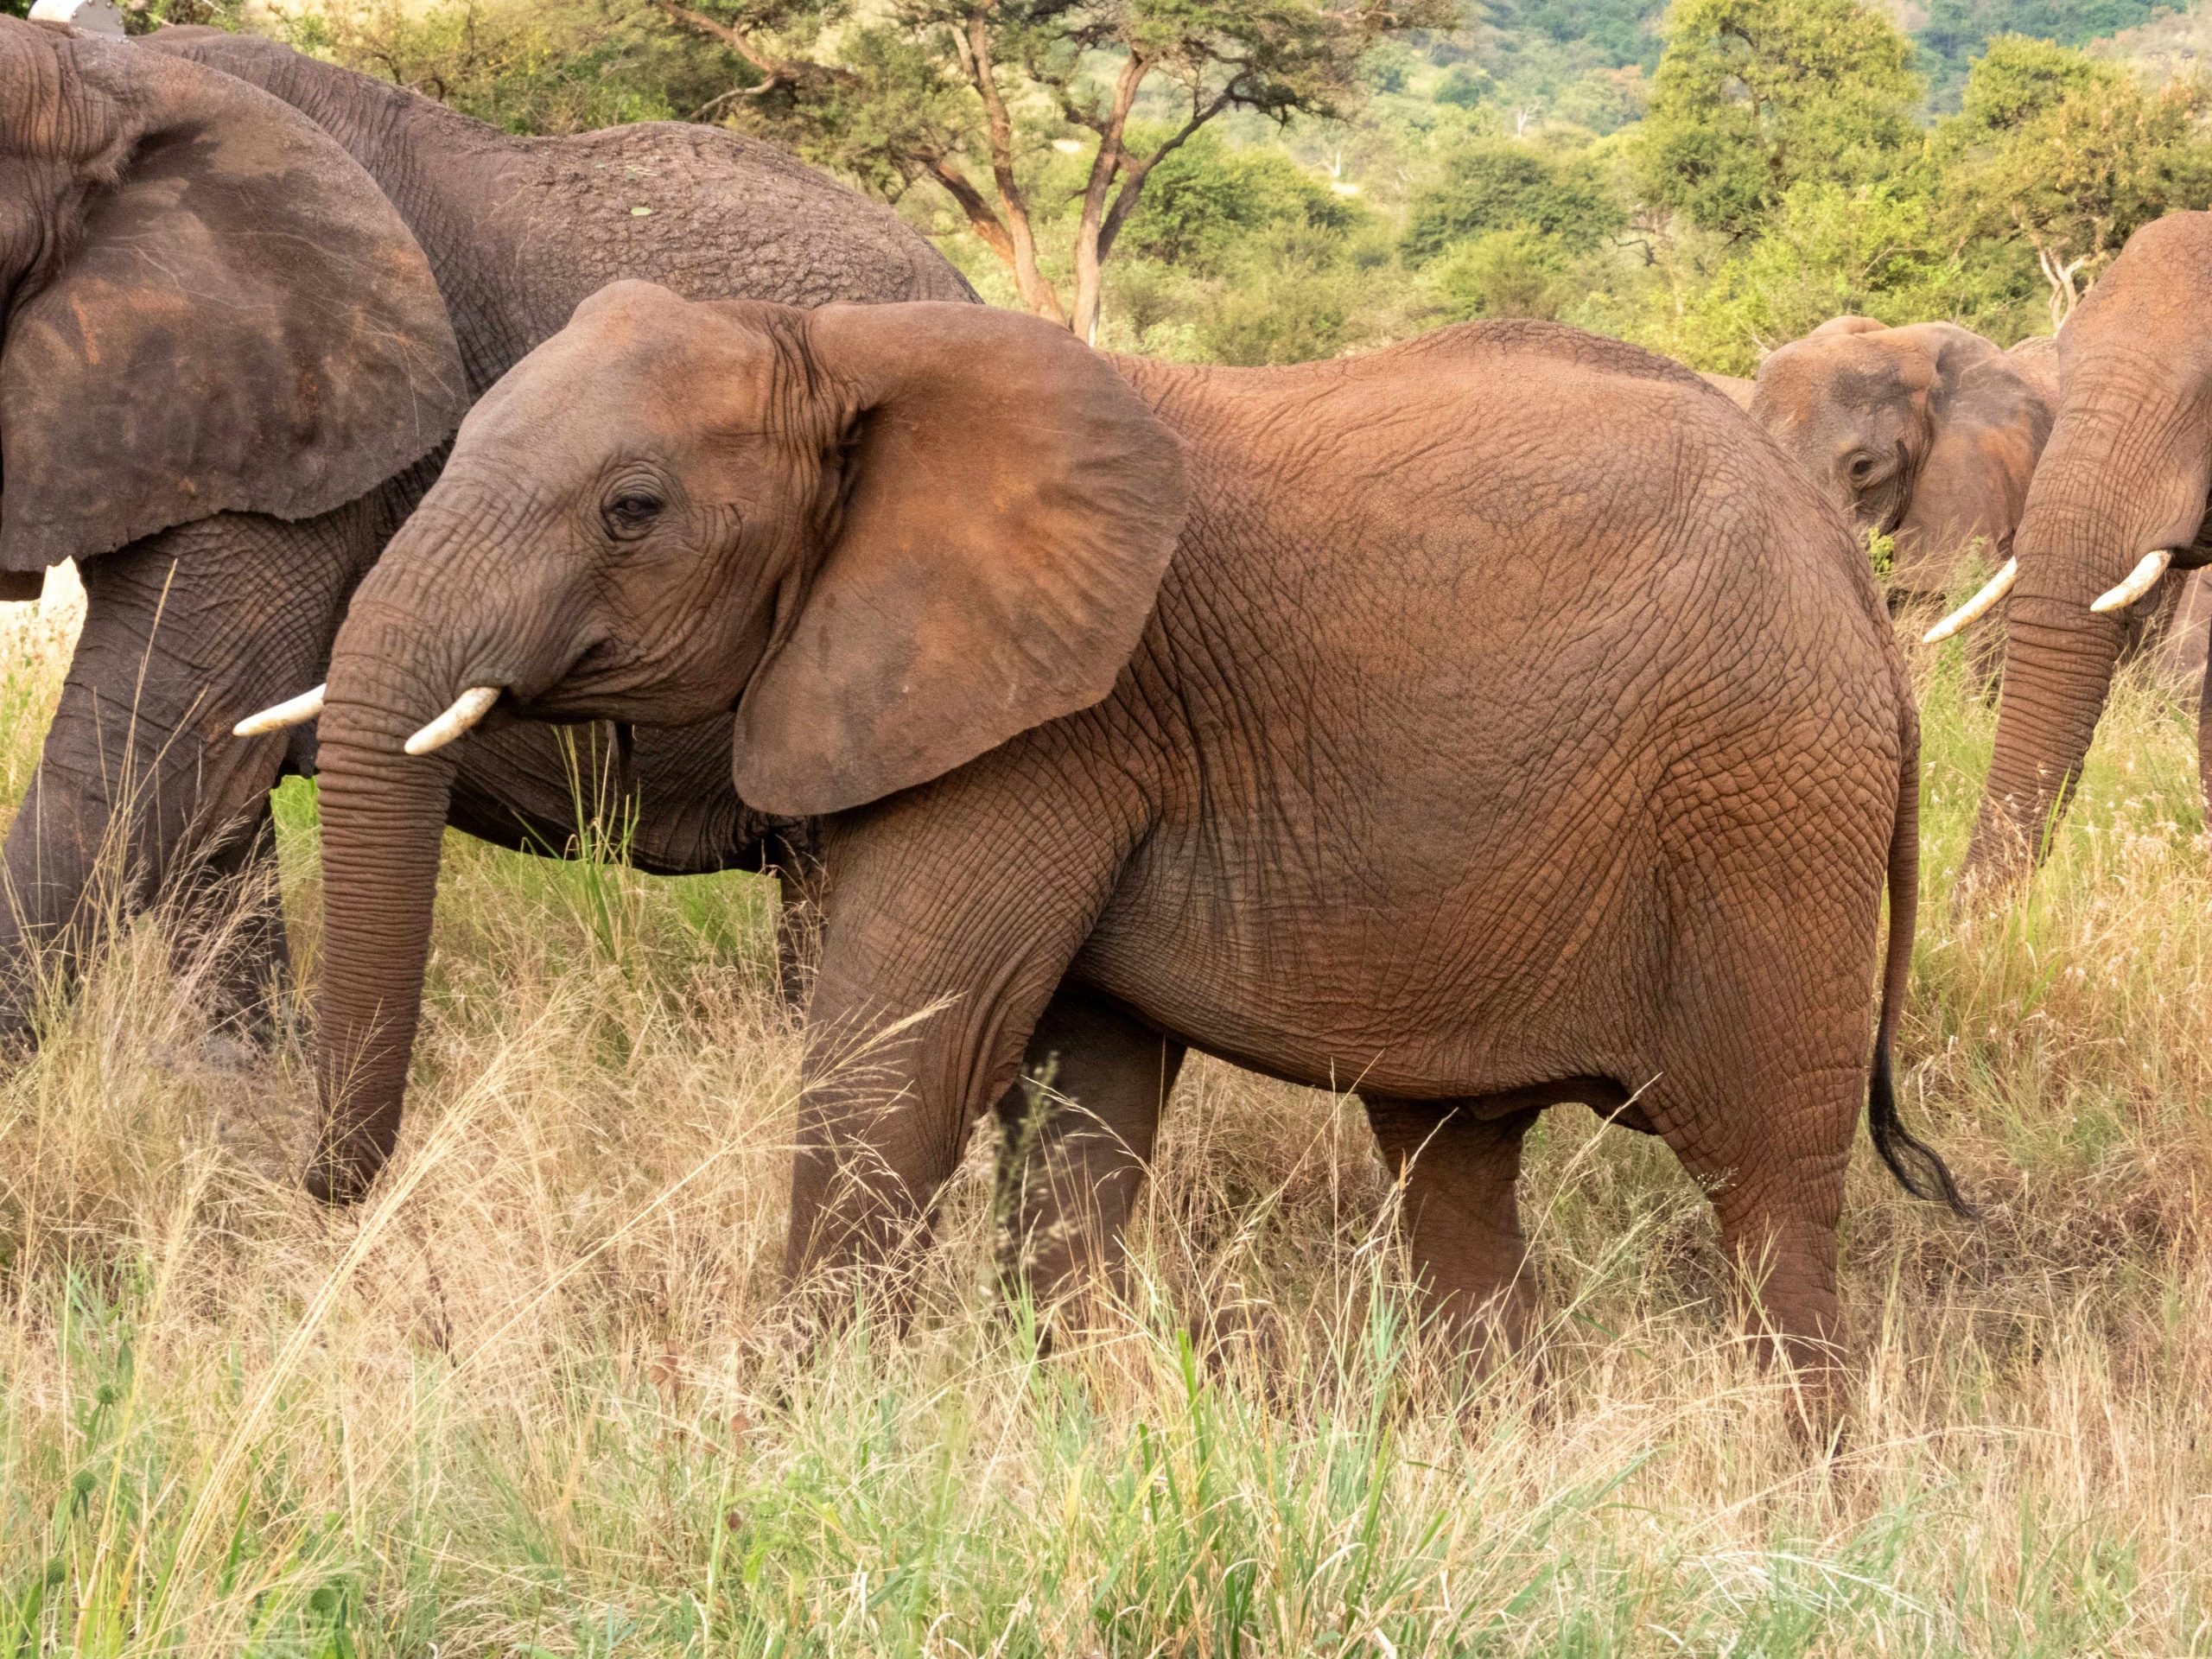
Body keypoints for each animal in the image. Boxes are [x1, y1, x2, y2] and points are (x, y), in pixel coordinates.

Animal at [272, 285, 1968, 1382]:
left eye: (634, 509)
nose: (330, 1202)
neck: (853, 351)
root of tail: (1857, 593)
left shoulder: (1057, 720)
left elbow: (907, 1058)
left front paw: (796, 1442)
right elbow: (1079, 1101)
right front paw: (1073, 1418)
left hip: (1771, 818)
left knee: (1767, 1201)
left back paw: (1797, 1504)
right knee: (1454, 1174)